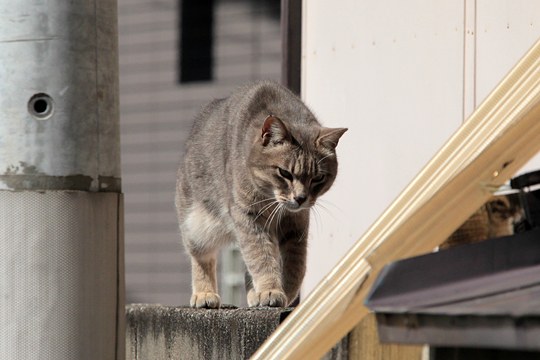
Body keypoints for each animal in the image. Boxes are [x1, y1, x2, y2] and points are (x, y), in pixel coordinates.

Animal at [175, 80, 348, 308]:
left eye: (318, 178)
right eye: (285, 173)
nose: (300, 198)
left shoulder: (297, 222)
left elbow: (295, 263)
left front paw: (284, 292)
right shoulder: (248, 217)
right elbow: (260, 257)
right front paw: (270, 290)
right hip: (197, 225)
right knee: (201, 257)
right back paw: (205, 294)